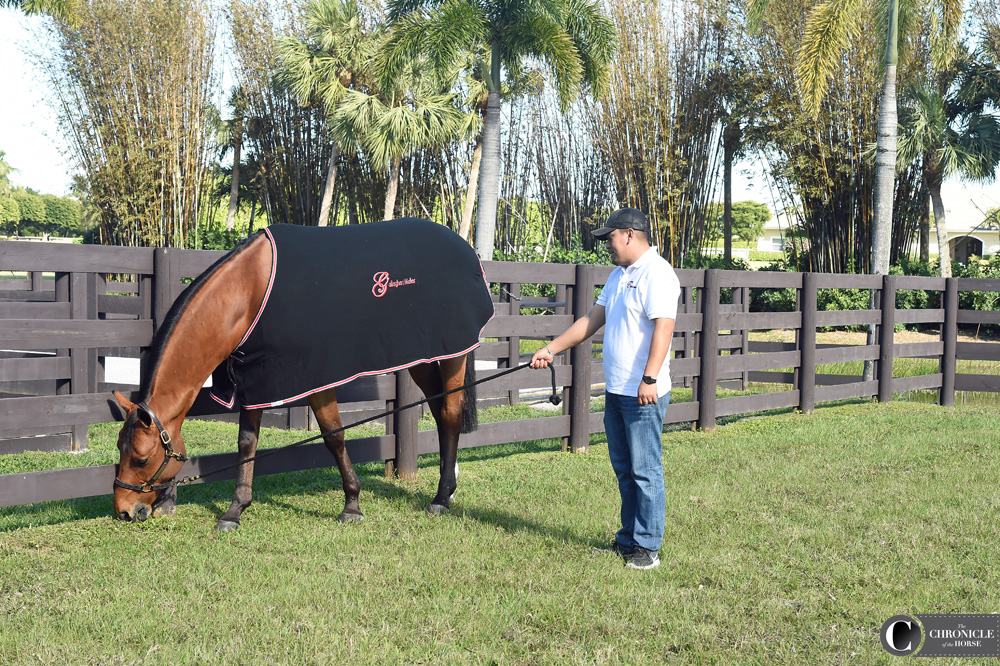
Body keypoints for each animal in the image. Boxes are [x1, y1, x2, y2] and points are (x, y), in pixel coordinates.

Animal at [113, 218, 496, 528]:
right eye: (119, 448)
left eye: (141, 458)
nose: (123, 510)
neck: (249, 291)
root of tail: (467, 250)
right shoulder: (255, 379)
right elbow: (247, 443)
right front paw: (235, 511)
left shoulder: (314, 377)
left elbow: (333, 436)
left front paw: (352, 504)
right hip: (423, 357)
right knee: (439, 411)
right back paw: (448, 487)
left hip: (454, 355)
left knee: (450, 412)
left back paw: (441, 497)